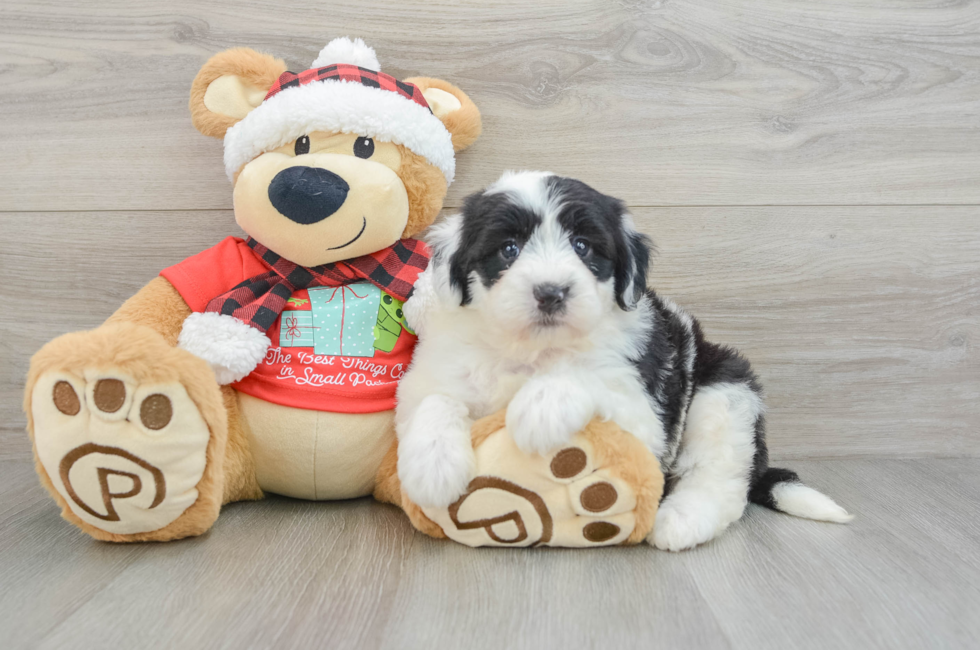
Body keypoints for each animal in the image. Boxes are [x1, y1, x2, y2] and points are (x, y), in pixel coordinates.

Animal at [394, 171, 852, 548]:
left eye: (583, 246)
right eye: (509, 249)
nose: (551, 292)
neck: (534, 348)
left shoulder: (645, 419)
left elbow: (586, 375)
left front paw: (540, 408)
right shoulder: (433, 374)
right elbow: (434, 399)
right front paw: (432, 466)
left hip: (724, 390)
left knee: (719, 473)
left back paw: (681, 520)